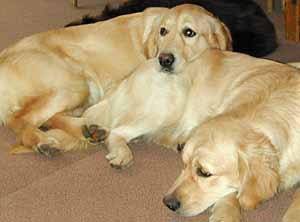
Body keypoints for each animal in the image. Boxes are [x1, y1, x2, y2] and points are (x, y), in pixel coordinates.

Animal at [1, 3, 232, 156]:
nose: (164, 60)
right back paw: (41, 140)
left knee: (51, 117)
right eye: (163, 31)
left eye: (189, 32)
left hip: (82, 90)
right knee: (19, 118)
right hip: (74, 84)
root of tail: (3, 56)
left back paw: (89, 129)